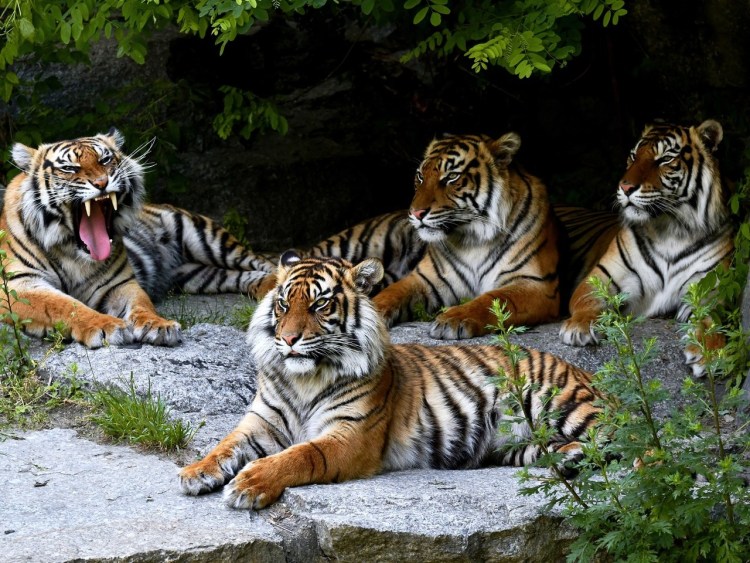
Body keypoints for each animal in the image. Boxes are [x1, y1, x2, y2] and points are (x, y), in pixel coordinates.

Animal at [1, 129, 275, 348]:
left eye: (105, 159)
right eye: (69, 168)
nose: (101, 183)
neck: (73, 252)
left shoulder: (119, 283)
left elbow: (142, 303)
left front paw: (159, 326)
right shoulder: (19, 286)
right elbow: (66, 306)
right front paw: (106, 326)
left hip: (206, 239)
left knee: (265, 263)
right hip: (194, 275)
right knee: (239, 275)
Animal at [178, 253, 602, 510]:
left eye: (319, 304)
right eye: (283, 303)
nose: (288, 338)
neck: (305, 380)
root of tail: (580, 370)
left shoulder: (351, 436)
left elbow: (300, 455)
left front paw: (248, 485)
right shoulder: (262, 422)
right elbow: (226, 445)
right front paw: (196, 473)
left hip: (562, 404)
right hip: (513, 445)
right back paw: (570, 458)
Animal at [369, 132, 562, 339]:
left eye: (452, 177)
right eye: (420, 176)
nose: (415, 213)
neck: (473, 240)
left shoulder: (535, 283)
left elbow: (493, 298)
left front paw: (453, 319)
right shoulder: (426, 279)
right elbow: (391, 292)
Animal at [559, 120, 734, 376]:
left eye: (665, 159)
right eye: (633, 156)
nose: (625, 187)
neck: (671, 230)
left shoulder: (709, 289)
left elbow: (711, 320)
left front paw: (709, 354)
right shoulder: (601, 277)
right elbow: (588, 301)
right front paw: (579, 327)